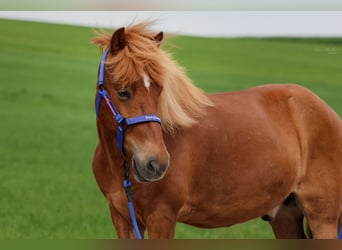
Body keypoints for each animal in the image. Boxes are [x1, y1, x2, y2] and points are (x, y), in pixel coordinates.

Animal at [91, 23, 342, 238]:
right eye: (123, 92)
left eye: (159, 90)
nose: (156, 164)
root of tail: (328, 112)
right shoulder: (122, 219)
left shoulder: (161, 218)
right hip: (285, 215)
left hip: (323, 219)